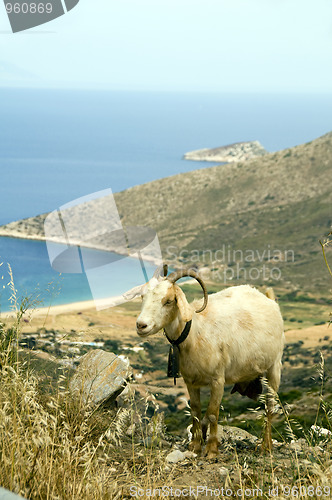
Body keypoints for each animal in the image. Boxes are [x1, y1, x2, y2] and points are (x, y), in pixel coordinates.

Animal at [136, 268, 284, 458]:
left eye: (168, 301)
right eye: (143, 298)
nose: (141, 325)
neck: (195, 332)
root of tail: (269, 299)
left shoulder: (218, 379)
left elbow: (213, 413)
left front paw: (212, 449)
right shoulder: (190, 381)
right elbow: (196, 411)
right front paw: (195, 445)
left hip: (275, 366)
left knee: (269, 406)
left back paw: (266, 446)